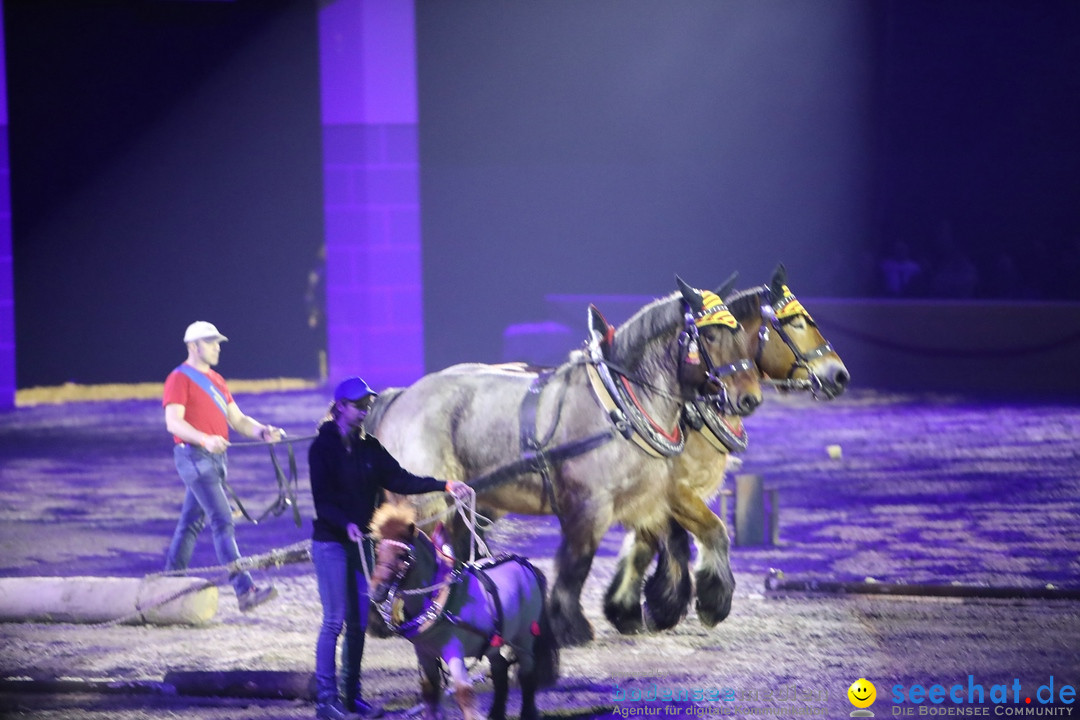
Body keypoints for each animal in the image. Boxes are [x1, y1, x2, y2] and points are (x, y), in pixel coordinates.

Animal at [369, 500, 557, 720]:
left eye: (402, 555)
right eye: (378, 551)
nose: (376, 591)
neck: (436, 599)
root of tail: (524, 563)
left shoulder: (453, 652)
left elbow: (464, 694)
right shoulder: (424, 653)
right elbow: (429, 693)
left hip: (524, 637)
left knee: (526, 672)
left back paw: (527, 711)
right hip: (494, 639)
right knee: (500, 669)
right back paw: (495, 713)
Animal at [604, 263, 846, 630]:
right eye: (797, 323)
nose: (840, 375)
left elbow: (648, 544)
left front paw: (636, 606)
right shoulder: (673, 492)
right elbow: (710, 533)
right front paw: (703, 601)